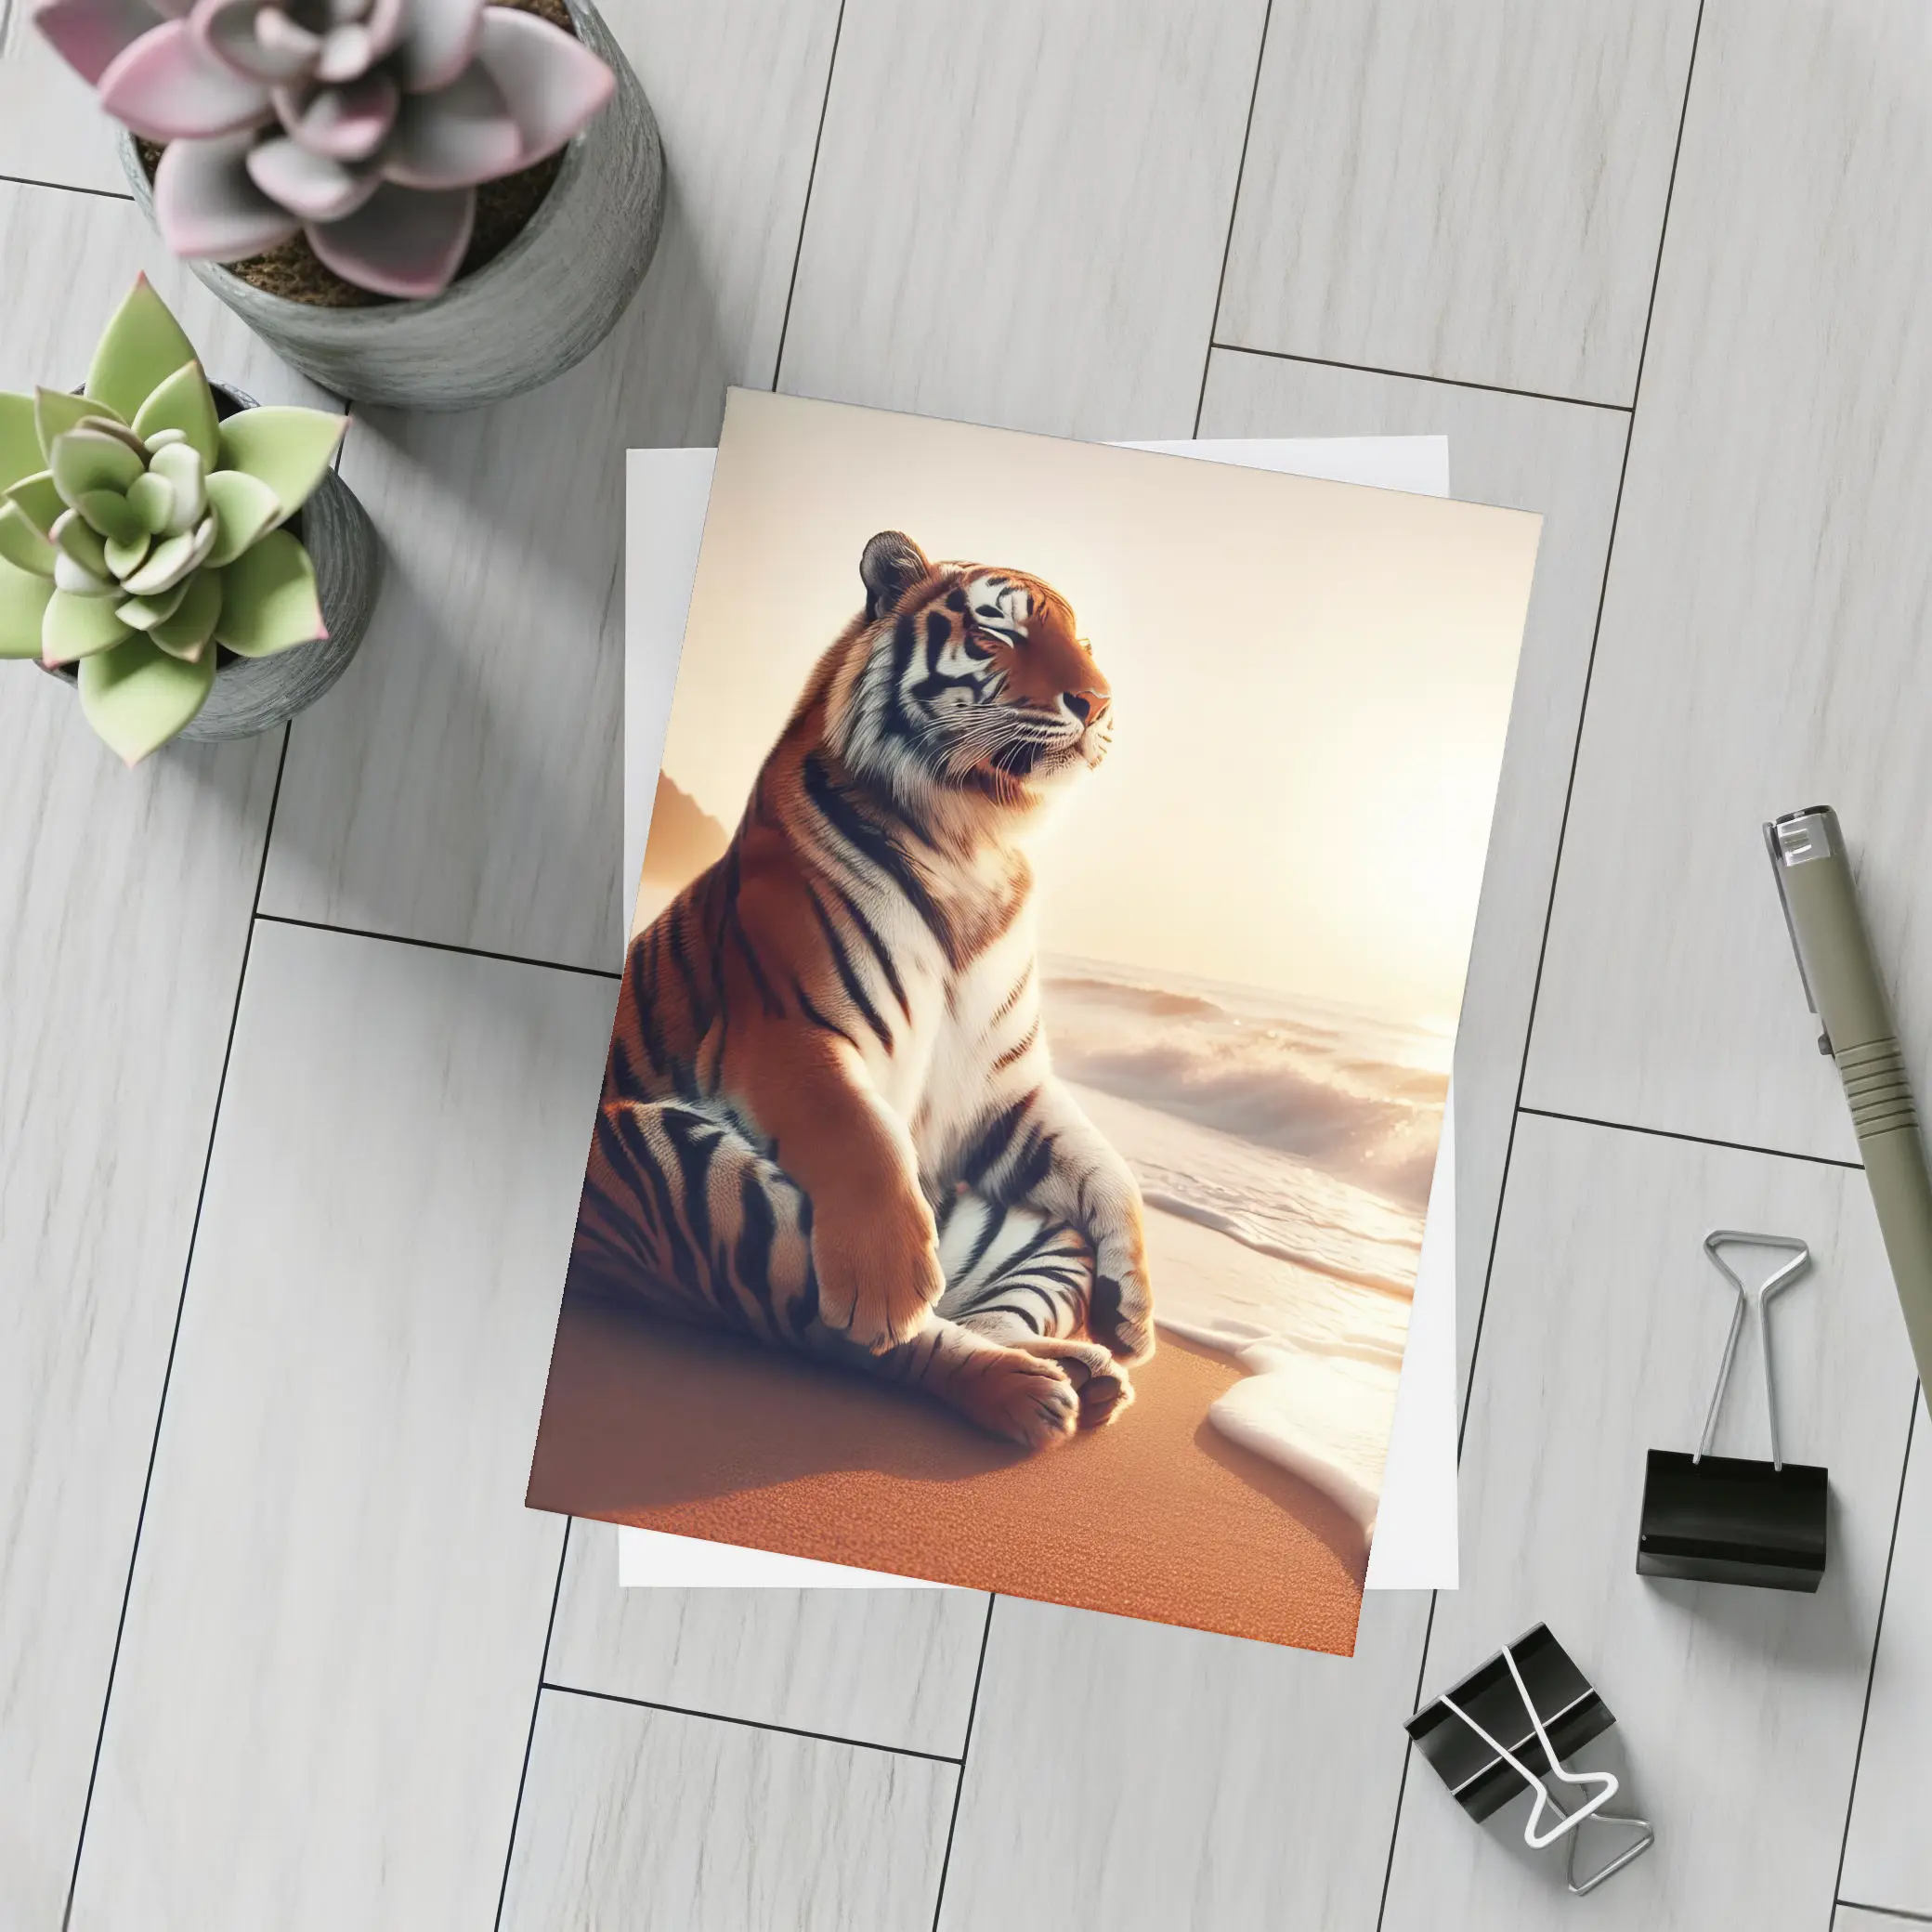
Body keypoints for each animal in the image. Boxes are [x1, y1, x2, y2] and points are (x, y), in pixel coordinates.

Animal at [570, 530, 1153, 1449]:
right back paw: (1017, 1385)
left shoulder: (1006, 1092)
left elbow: (1105, 1163)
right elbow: (861, 1134)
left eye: (1082, 642)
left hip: (1032, 1237)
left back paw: (1082, 1370)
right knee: (865, 1340)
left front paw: (1135, 1310)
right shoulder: (793, 1030)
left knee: (988, 1314)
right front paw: (886, 1284)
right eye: (1000, 632)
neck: (976, 841)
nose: (1097, 703)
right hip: (674, 1163)